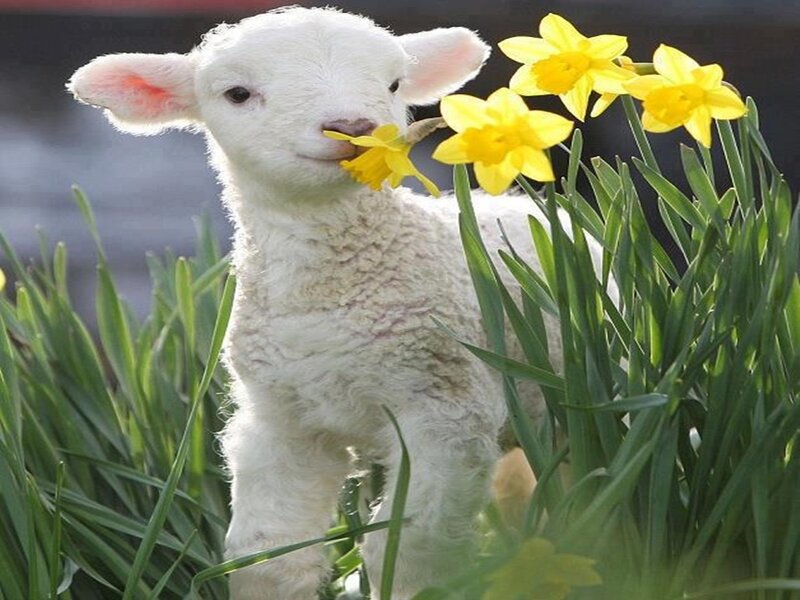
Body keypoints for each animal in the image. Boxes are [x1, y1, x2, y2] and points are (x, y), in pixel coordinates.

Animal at [68, 6, 594, 598]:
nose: (354, 127)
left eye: (394, 84)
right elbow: (267, 556)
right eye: (237, 93)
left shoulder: (446, 408)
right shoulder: (281, 419)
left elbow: (411, 549)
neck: (329, 298)